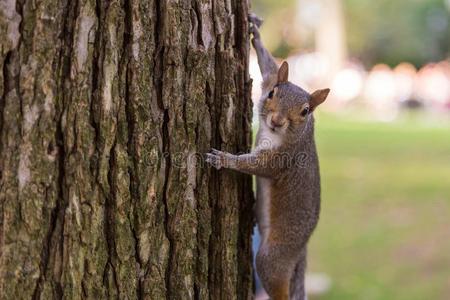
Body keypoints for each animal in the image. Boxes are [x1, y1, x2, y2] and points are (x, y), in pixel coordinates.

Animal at [206, 14, 328, 300]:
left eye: (305, 111)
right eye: (273, 93)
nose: (277, 121)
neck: (278, 135)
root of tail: (301, 250)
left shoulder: (283, 158)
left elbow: (256, 166)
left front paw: (224, 159)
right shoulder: (270, 78)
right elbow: (268, 66)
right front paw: (256, 34)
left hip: (274, 256)